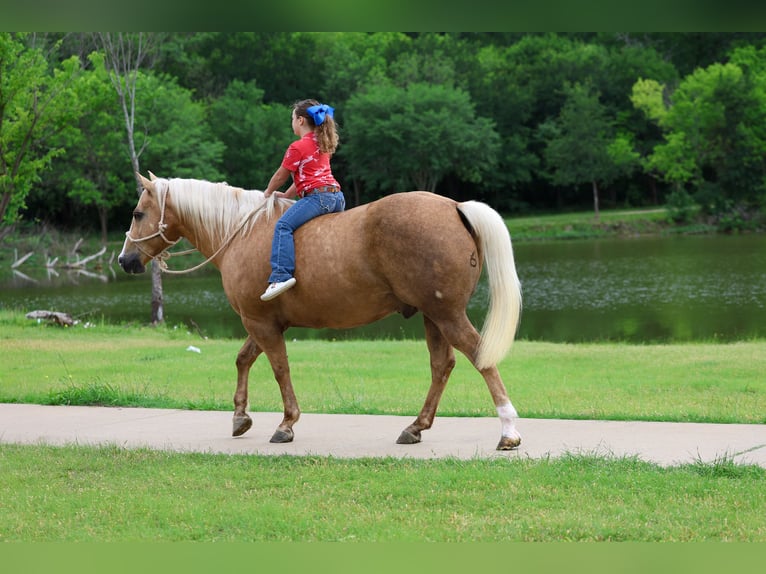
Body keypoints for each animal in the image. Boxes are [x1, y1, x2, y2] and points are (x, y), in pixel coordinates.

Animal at [118, 173, 523, 450]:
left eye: (137, 213)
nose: (125, 260)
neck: (242, 232)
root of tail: (455, 206)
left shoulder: (260, 322)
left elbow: (279, 368)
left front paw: (286, 423)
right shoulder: (263, 322)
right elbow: (244, 359)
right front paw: (239, 417)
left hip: (446, 315)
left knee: (479, 356)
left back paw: (508, 430)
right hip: (433, 316)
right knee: (443, 366)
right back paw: (416, 427)